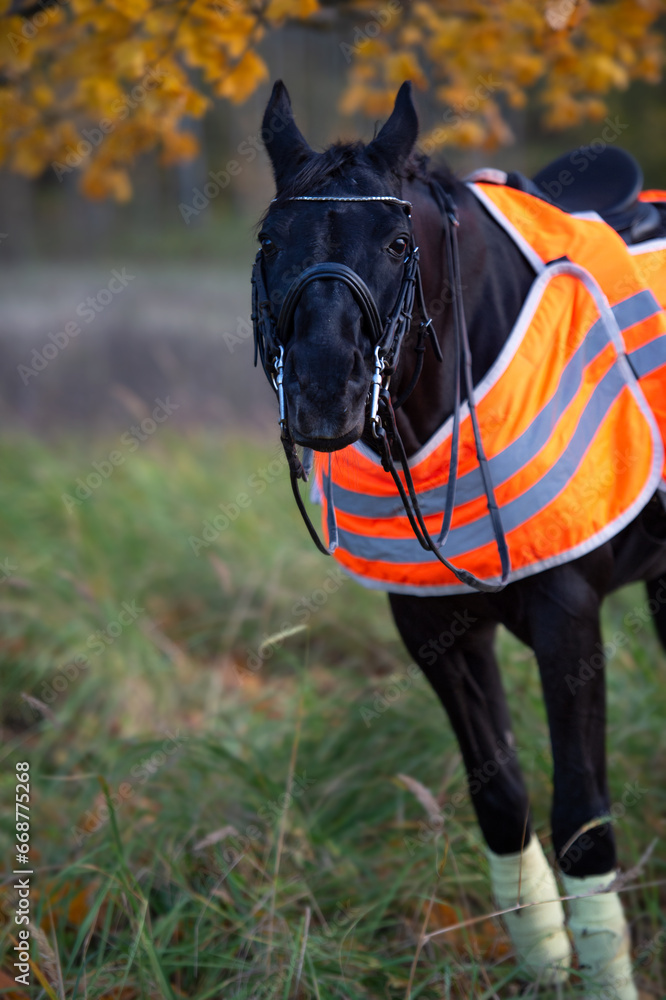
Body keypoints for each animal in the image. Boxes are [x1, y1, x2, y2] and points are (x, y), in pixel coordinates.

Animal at [253, 82, 664, 996]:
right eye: (268, 241)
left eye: (398, 242)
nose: (324, 395)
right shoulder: (432, 629)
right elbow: (502, 800)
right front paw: (546, 960)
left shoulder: (568, 619)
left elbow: (582, 818)